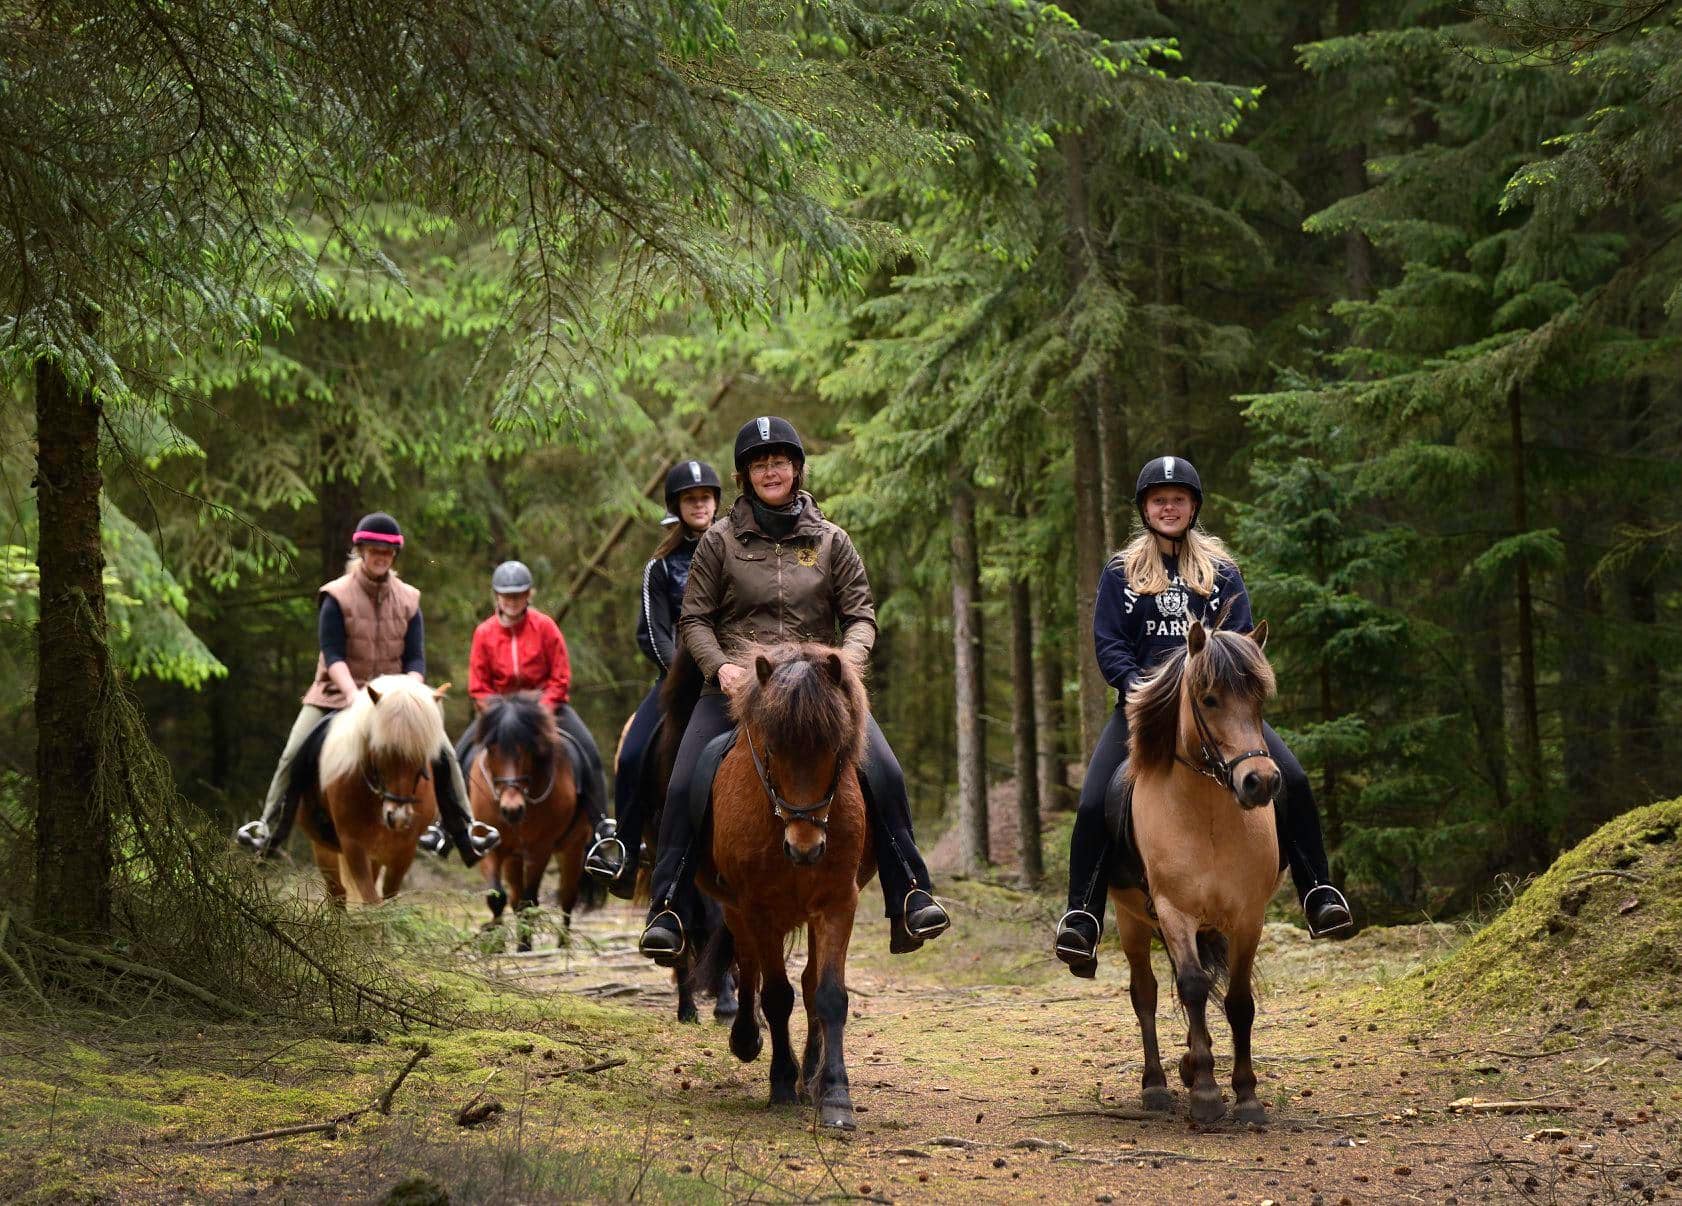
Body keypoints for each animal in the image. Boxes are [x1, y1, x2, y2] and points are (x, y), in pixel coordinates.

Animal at [297, 676, 450, 901]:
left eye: (422, 754)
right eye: (380, 750)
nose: (398, 818)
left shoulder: (404, 849)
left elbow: (388, 896)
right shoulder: (352, 845)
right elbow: (371, 900)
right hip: (324, 848)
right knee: (337, 893)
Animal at [467, 692, 585, 948]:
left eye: (528, 748)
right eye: (491, 748)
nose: (512, 809)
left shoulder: (539, 849)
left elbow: (529, 901)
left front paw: (523, 947)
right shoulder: (490, 845)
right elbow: (497, 897)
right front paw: (496, 945)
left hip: (573, 847)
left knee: (567, 896)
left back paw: (563, 944)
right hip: (513, 857)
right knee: (514, 896)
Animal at [696, 645, 881, 1123]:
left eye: (835, 748)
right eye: (773, 748)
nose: (805, 849)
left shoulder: (837, 902)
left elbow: (829, 994)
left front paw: (834, 1094)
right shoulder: (758, 907)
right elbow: (776, 995)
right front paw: (781, 1082)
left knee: (811, 983)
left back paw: (812, 1070)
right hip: (736, 908)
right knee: (748, 966)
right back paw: (747, 1039)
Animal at [1110, 615, 1278, 1123]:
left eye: (1260, 699)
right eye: (1209, 698)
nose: (1260, 782)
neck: (1208, 818)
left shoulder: (1248, 917)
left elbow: (1238, 1001)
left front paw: (1246, 1095)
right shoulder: (1173, 911)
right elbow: (1192, 985)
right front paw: (1205, 1092)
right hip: (1131, 920)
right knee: (1145, 993)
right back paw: (1157, 1085)